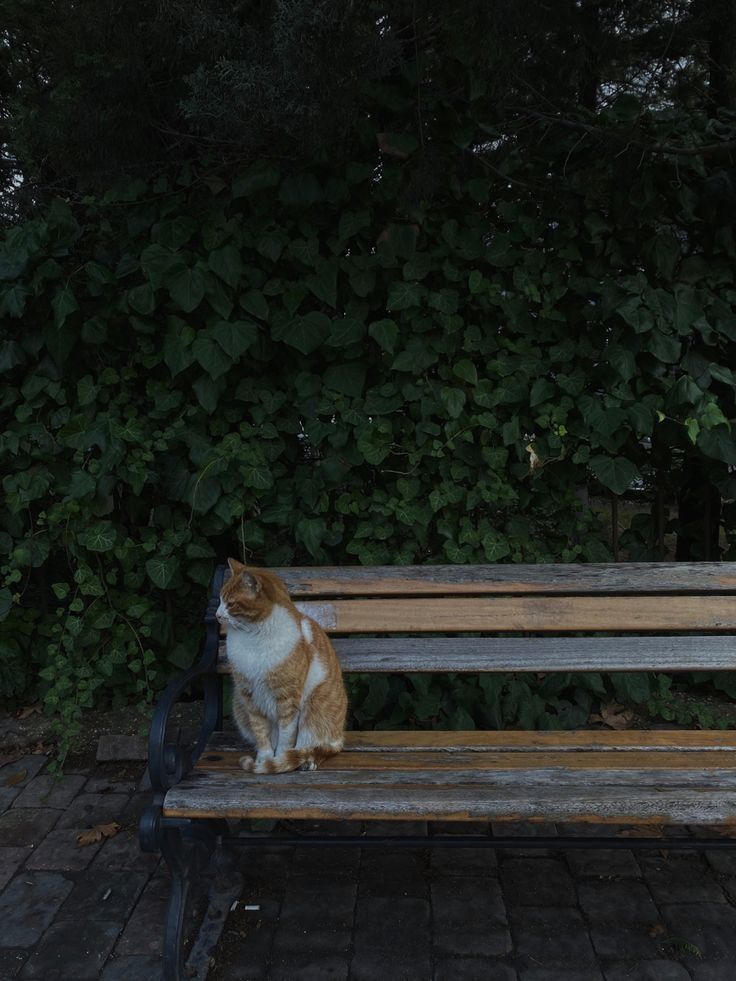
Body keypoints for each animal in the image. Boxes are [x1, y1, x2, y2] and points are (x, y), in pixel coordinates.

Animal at [216, 560, 348, 772]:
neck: (254, 637)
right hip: (238, 703)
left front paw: (278, 760)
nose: (217, 615)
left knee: (321, 747)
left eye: (230, 603)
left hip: (314, 712)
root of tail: (340, 733)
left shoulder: (288, 699)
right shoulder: (249, 696)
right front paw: (264, 759)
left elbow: (286, 738)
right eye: (219, 600)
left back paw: (307, 761)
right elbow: (261, 732)